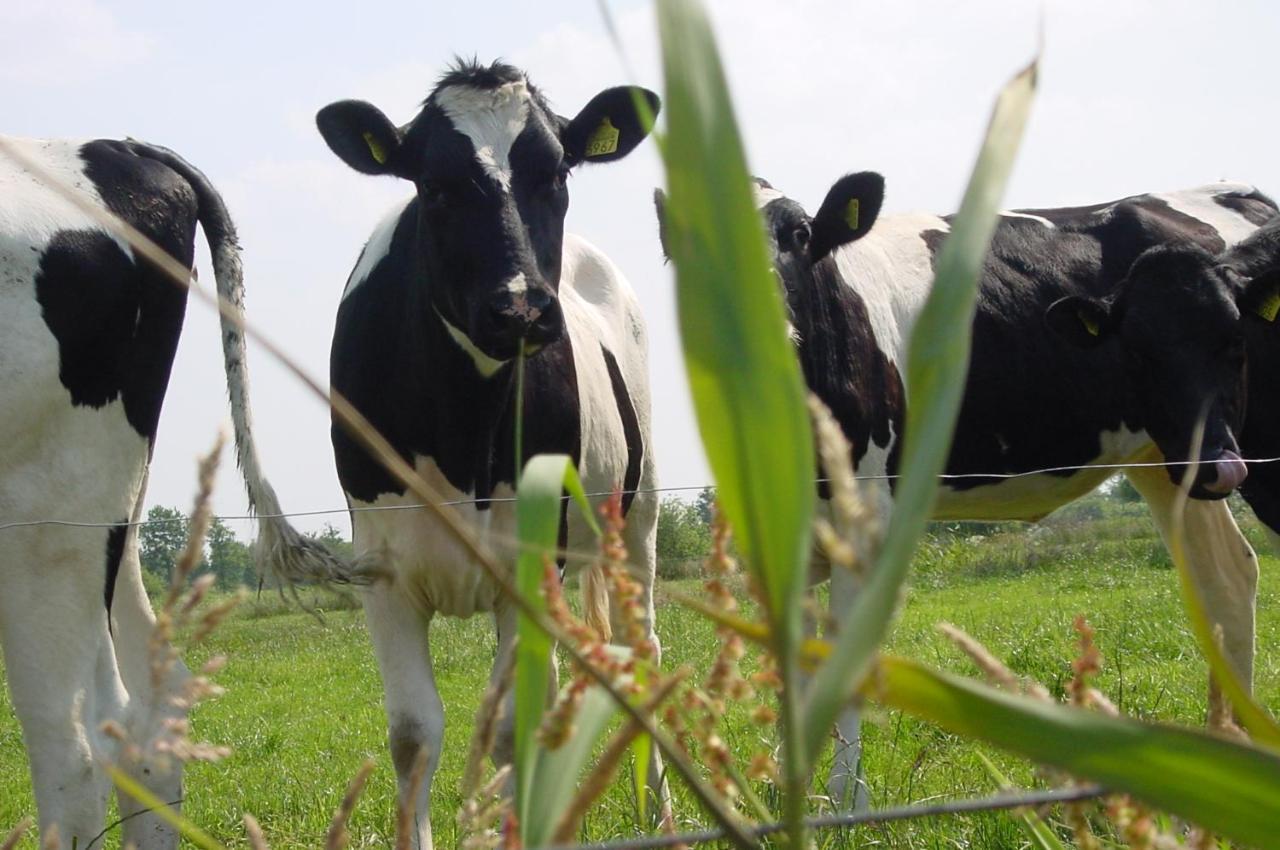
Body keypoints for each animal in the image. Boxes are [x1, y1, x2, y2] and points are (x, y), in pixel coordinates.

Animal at [316, 61, 665, 850]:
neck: (462, 431)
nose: (522, 308)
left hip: (639, 517)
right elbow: (414, 735)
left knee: (645, 655)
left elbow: (509, 729)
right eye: (435, 185)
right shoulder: (380, 570)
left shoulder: (531, 568)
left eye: (556, 173)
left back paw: (662, 811)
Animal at [660, 175, 1280, 809]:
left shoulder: (865, 523)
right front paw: (792, 802)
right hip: (1170, 456)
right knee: (1225, 576)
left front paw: (846, 807)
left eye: (800, 233)